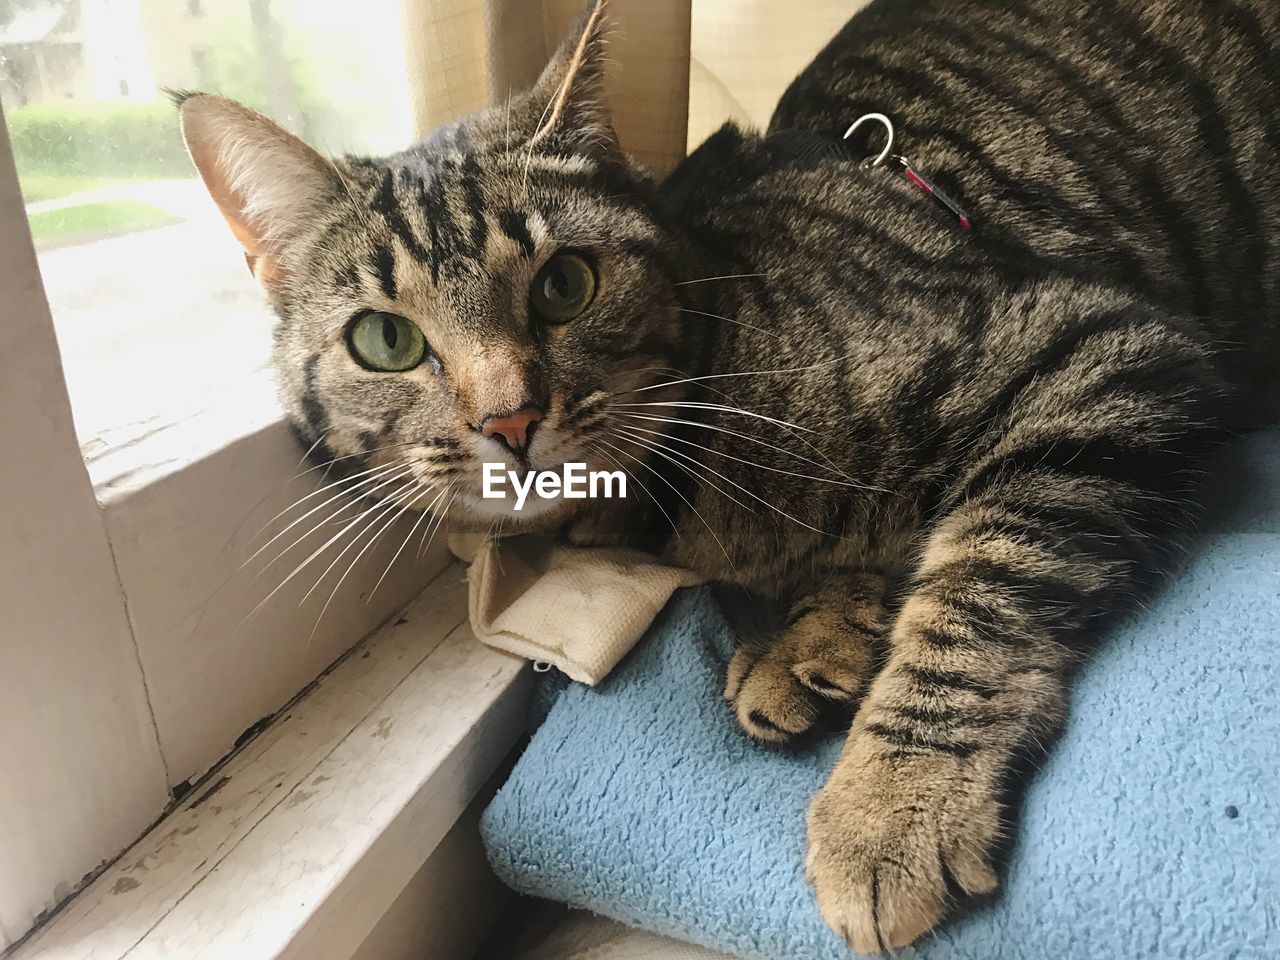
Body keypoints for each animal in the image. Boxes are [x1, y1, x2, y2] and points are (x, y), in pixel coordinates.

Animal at [177, 0, 1280, 947]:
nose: (510, 418)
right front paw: (818, 637)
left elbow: (973, 593)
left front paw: (889, 805)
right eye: (386, 340)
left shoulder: (1103, 352)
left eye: (565, 284)